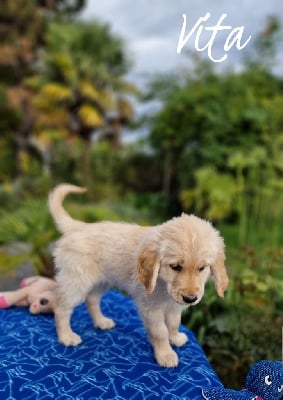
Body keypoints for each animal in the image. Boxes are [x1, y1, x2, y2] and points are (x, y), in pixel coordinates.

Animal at [48, 183, 230, 368]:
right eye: (175, 267)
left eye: (202, 268)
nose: (190, 299)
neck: (163, 283)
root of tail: (78, 226)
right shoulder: (151, 308)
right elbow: (160, 332)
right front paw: (165, 354)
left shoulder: (173, 306)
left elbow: (173, 323)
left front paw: (175, 338)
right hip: (76, 281)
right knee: (61, 306)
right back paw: (66, 336)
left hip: (103, 281)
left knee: (92, 299)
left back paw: (101, 321)